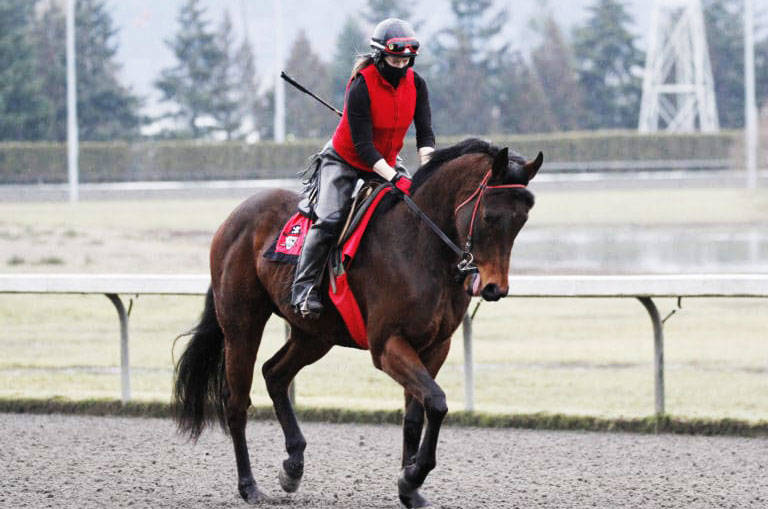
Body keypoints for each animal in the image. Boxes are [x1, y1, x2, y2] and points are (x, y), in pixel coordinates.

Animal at [171, 137, 544, 506]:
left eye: (522, 219)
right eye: (490, 216)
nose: (495, 287)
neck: (421, 248)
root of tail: (234, 217)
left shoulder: (435, 346)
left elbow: (419, 413)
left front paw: (410, 488)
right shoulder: (387, 345)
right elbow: (437, 403)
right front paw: (412, 476)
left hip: (314, 335)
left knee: (274, 373)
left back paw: (293, 465)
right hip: (242, 325)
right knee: (236, 402)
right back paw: (249, 486)